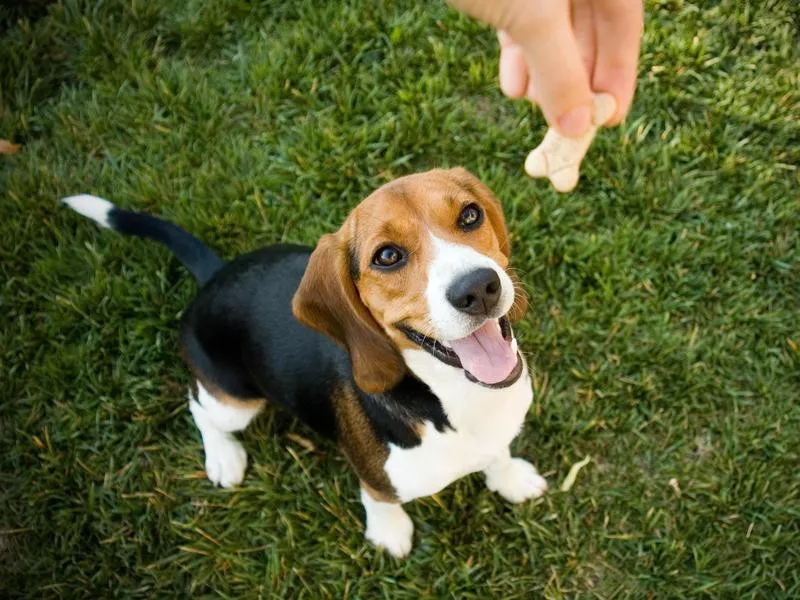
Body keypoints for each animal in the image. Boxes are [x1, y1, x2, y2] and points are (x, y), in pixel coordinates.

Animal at [64, 166, 552, 556]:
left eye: (470, 215)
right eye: (387, 256)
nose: (479, 288)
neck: (456, 397)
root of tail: (215, 276)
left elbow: (498, 454)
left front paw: (510, 477)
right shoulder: (376, 478)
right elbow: (380, 499)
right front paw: (389, 533)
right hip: (235, 402)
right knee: (198, 406)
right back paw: (223, 456)